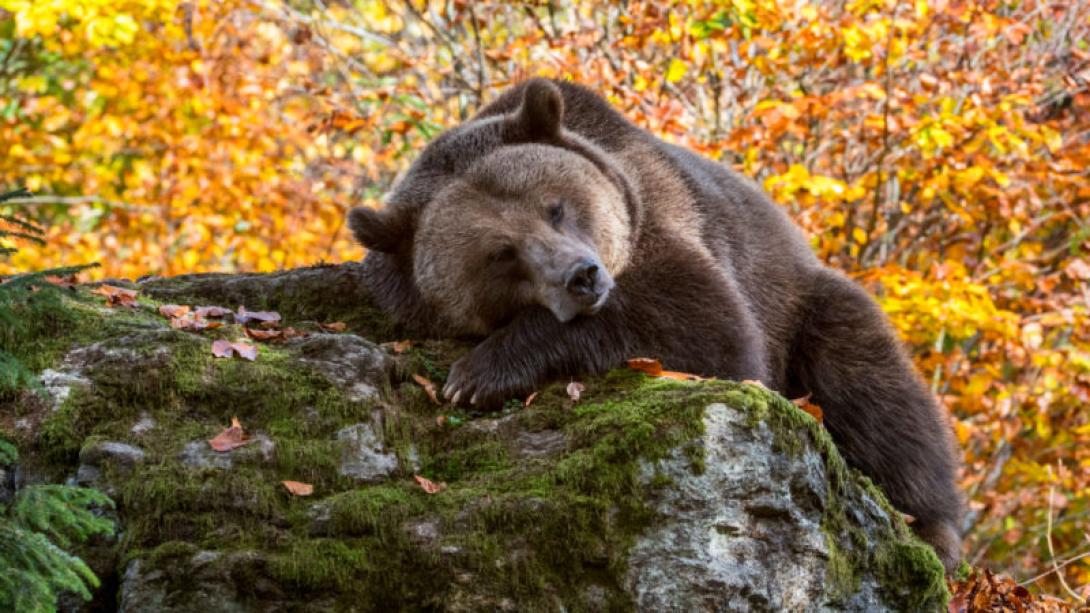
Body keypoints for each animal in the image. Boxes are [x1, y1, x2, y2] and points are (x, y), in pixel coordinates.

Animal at [348, 78, 963, 571]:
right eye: (501, 253)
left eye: (555, 206)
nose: (583, 276)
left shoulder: (664, 217)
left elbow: (704, 325)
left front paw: (478, 373)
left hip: (802, 305)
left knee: (873, 389)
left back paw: (932, 528)